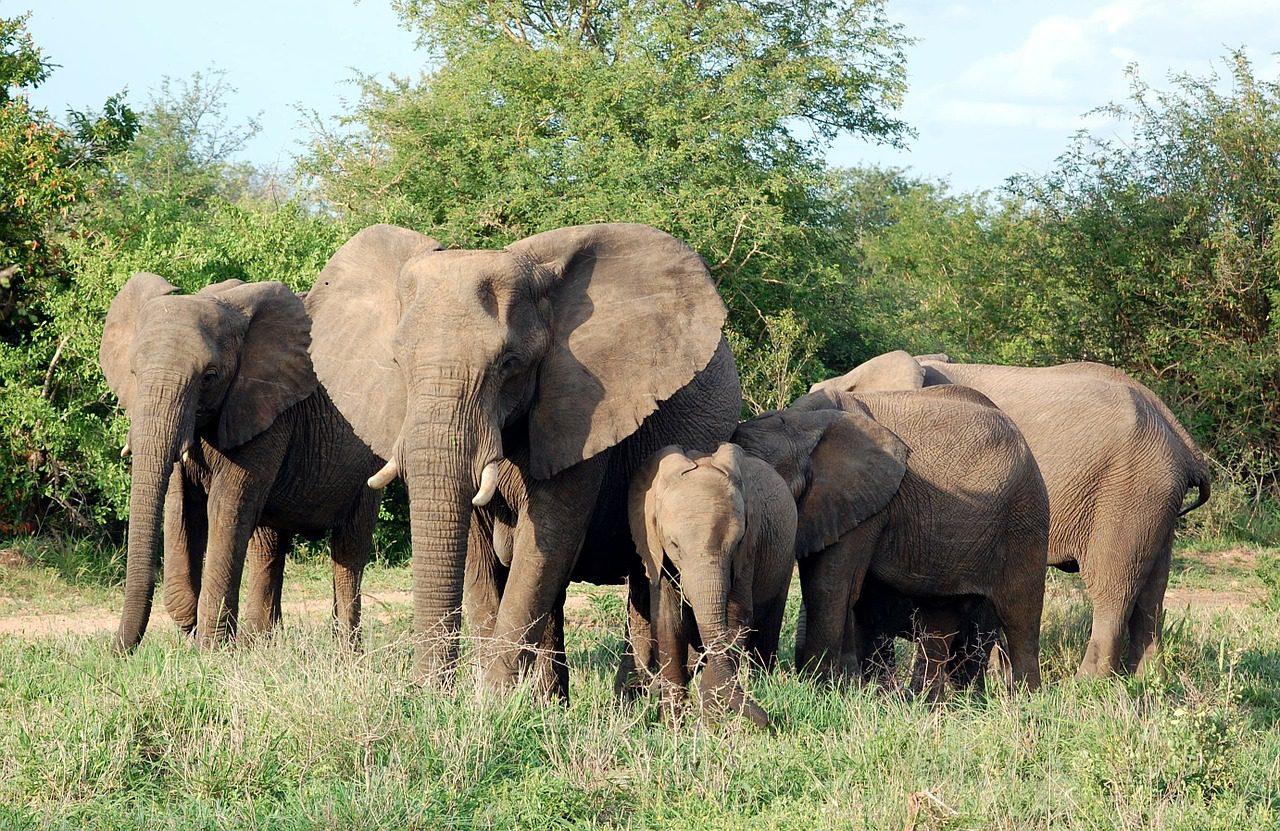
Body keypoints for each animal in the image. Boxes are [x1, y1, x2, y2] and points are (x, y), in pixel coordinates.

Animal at [100, 272, 384, 647]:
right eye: (133, 372)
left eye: (209, 377)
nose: (117, 651)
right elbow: (180, 505)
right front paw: (192, 622)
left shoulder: (266, 411)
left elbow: (226, 506)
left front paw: (211, 646)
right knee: (268, 543)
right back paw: (262, 642)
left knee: (349, 547)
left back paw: (345, 650)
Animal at [303, 221, 742, 691]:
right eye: (398, 362)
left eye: (509, 363)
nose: (423, 690)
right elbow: (479, 555)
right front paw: (484, 697)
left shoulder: (582, 410)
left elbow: (545, 541)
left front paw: (491, 696)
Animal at [624, 443, 793, 722]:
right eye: (674, 545)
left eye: (736, 543)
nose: (768, 719)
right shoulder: (655, 550)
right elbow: (669, 622)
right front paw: (673, 725)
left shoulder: (748, 550)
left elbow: (735, 618)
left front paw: (709, 721)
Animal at [732, 386, 1049, 691]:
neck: (800, 424)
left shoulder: (865, 504)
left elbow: (828, 587)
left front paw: (816, 688)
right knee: (941, 616)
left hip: (1025, 517)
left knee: (1019, 616)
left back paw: (1026, 699)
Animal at [814, 350, 1213, 676]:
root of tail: (1181, 438)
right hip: (1153, 499)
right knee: (1151, 594)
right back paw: (1143, 682)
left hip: (1128, 491)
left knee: (1113, 589)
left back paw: (1088, 684)